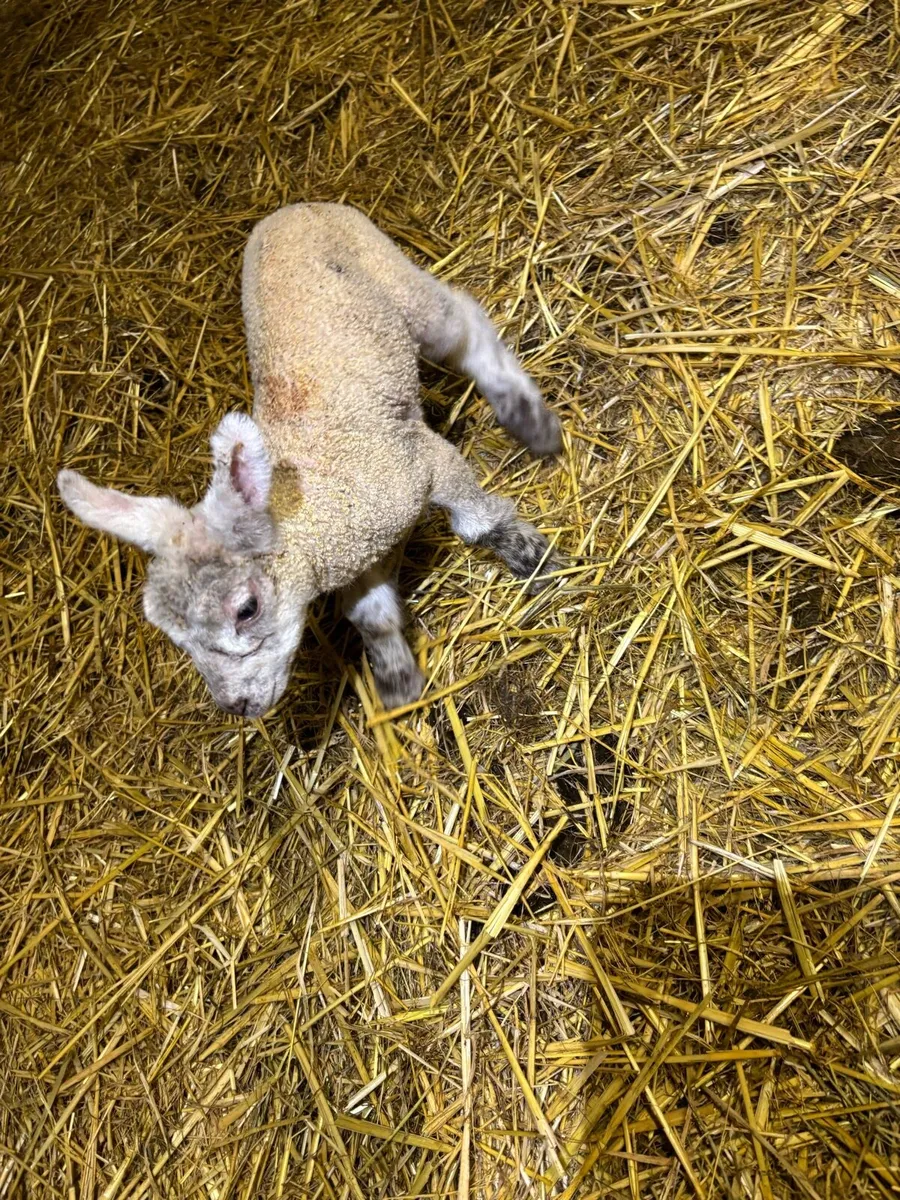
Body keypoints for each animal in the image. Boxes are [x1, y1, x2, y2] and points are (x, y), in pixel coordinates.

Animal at [57, 202, 560, 718]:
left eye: (247, 609)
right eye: (173, 636)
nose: (237, 706)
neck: (321, 508)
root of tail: (294, 207)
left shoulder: (420, 459)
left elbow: (477, 522)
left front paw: (532, 558)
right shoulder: (359, 551)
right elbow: (370, 615)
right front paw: (397, 680)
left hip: (391, 273)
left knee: (463, 321)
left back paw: (529, 420)